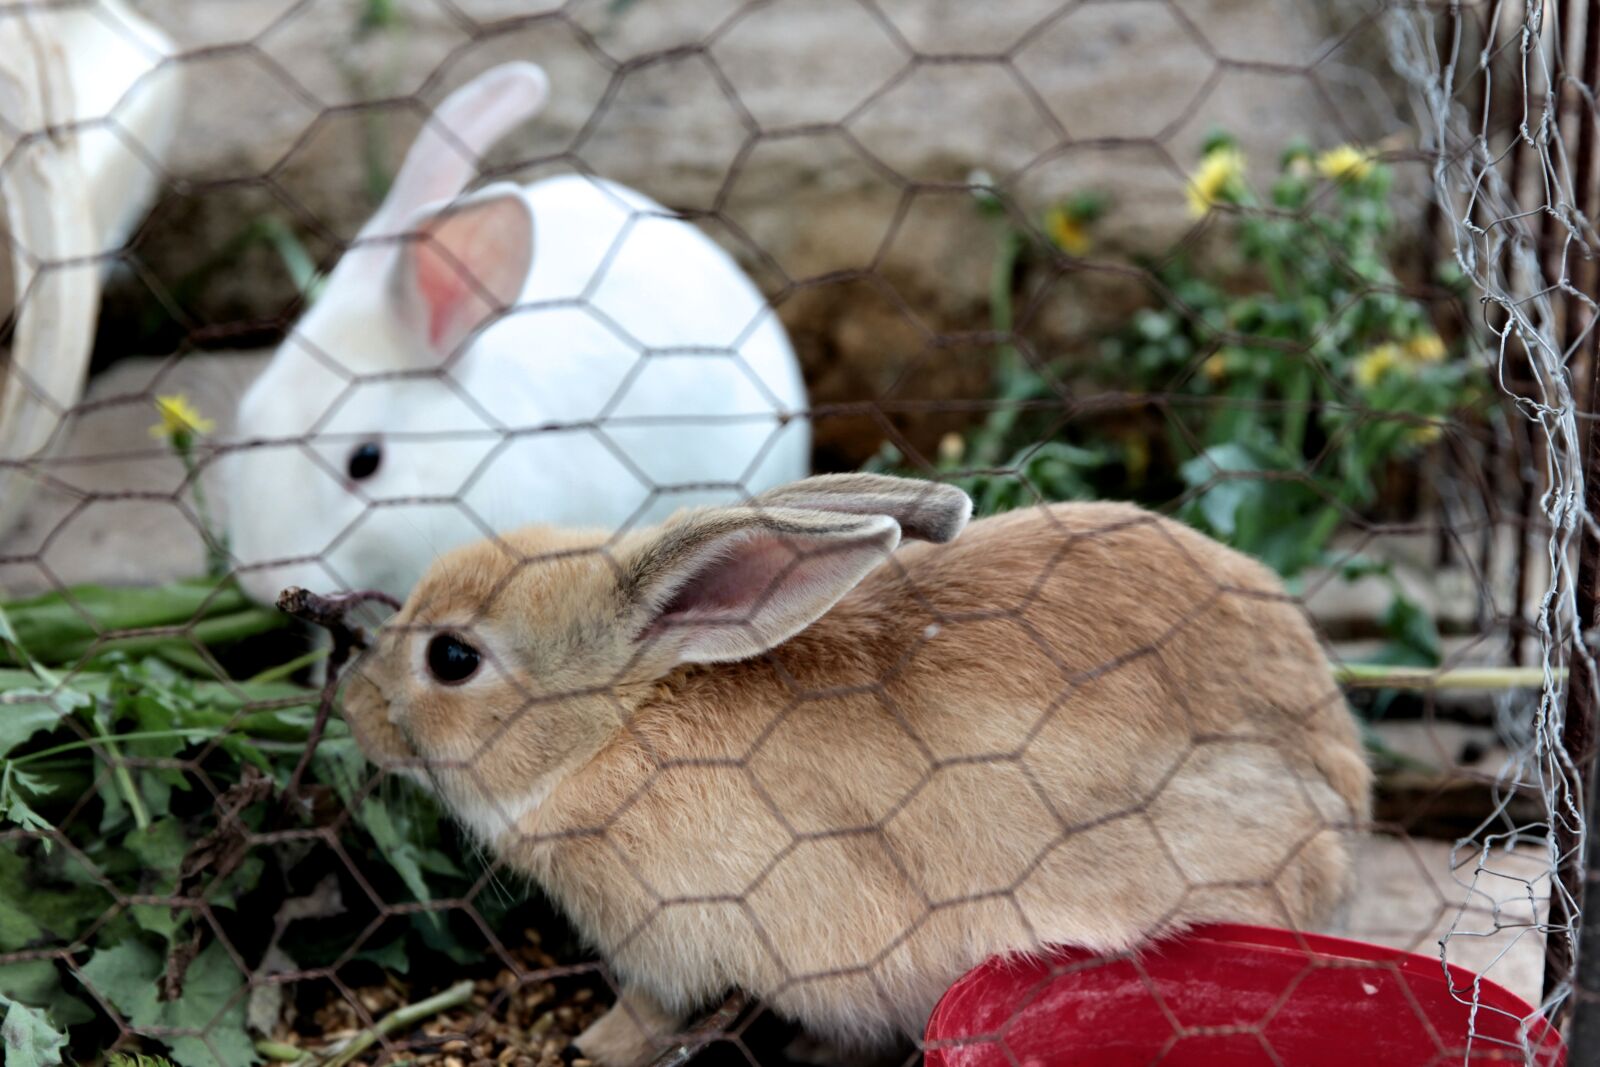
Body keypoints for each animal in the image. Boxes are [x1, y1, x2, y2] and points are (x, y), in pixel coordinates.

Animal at [340, 472, 1372, 1066]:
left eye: (452, 659)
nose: (356, 708)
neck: (615, 725)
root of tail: (1344, 796)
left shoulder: (666, 946)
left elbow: (648, 1010)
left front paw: (595, 1046)